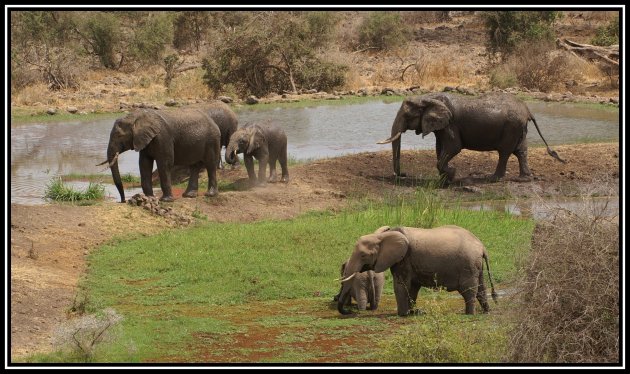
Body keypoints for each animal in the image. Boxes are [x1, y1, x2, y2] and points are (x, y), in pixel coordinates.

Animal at [338, 225, 502, 316]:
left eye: (363, 255)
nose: (349, 311)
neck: (382, 236)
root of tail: (482, 246)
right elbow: (413, 287)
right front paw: (412, 313)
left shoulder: (404, 259)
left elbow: (401, 286)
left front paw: (402, 314)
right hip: (476, 265)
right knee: (481, 288)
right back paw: (486, 312)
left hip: (468, 264)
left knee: (468, 290)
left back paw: (469, 314)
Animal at [376, 91, 568, 183]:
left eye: (407, 116)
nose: (403, 174)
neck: (427, 97)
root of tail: (528, 110)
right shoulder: (442, 126)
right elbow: (440, 148)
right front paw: (445, 180)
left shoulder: (451, 124)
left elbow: (453, 147)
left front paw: (452, 174)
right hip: (519, 128)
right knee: (521, 151)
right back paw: (523, 179)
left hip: (512, 127)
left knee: (505, 152)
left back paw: (493, 179)